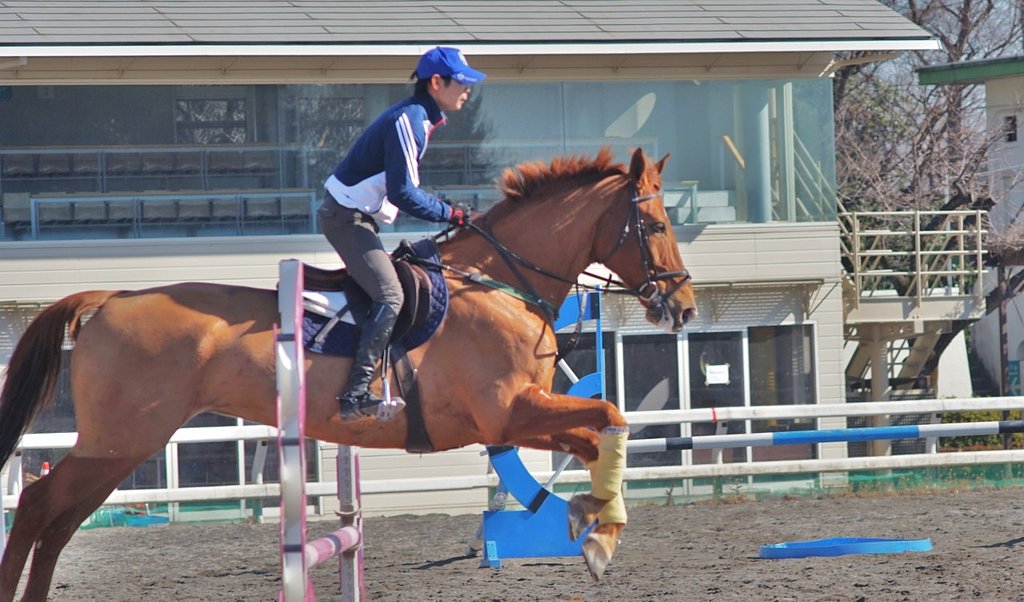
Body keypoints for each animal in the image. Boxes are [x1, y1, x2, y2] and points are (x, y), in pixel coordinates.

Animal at [0, 147, 697, 601]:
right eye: (656, 224)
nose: (683, 307)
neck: (500, 284)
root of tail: (110, 297)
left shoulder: (517, 417)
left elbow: (597, 433)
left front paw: (592, 525)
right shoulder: (506, 414)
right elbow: (606, 417)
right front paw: (596, 531)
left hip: (120, 448)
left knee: (58, 522)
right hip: (120, 441)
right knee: (38, 506)